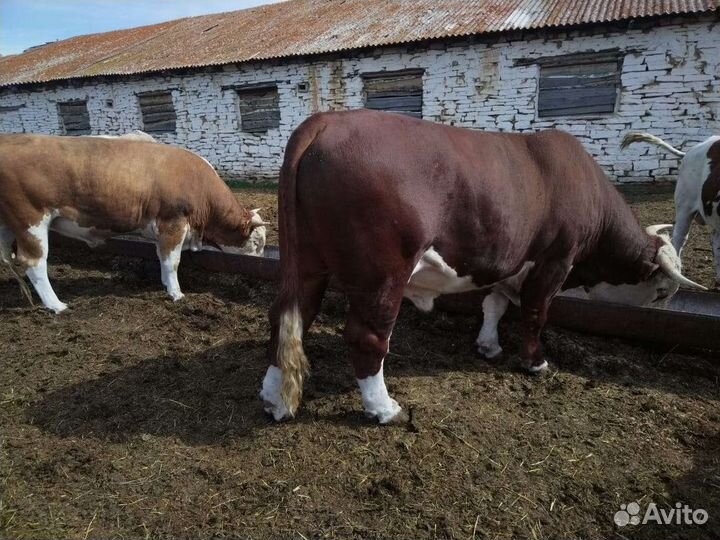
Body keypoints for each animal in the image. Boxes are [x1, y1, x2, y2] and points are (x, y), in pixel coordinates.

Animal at [0, 133, 267, 313]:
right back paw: (56, 305)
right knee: (34, 263)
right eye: (257, 243)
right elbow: (172, 261)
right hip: (31, 221)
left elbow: (162, 258)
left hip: (8, 225)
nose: (256, 275)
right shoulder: (173, 223)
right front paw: (176, 293)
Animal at [260, 109, 705, 424]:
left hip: (307, 262)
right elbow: (535, 313)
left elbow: (494, 304)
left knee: (288, 316)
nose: (659, 312)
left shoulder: (505, 261)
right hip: (383, 274)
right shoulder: (555, 260)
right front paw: (535, 362)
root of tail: (326, 120)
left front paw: (488, 346)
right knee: (366, 336)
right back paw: (383, 408)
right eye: (663, 291)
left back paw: (273, 396)